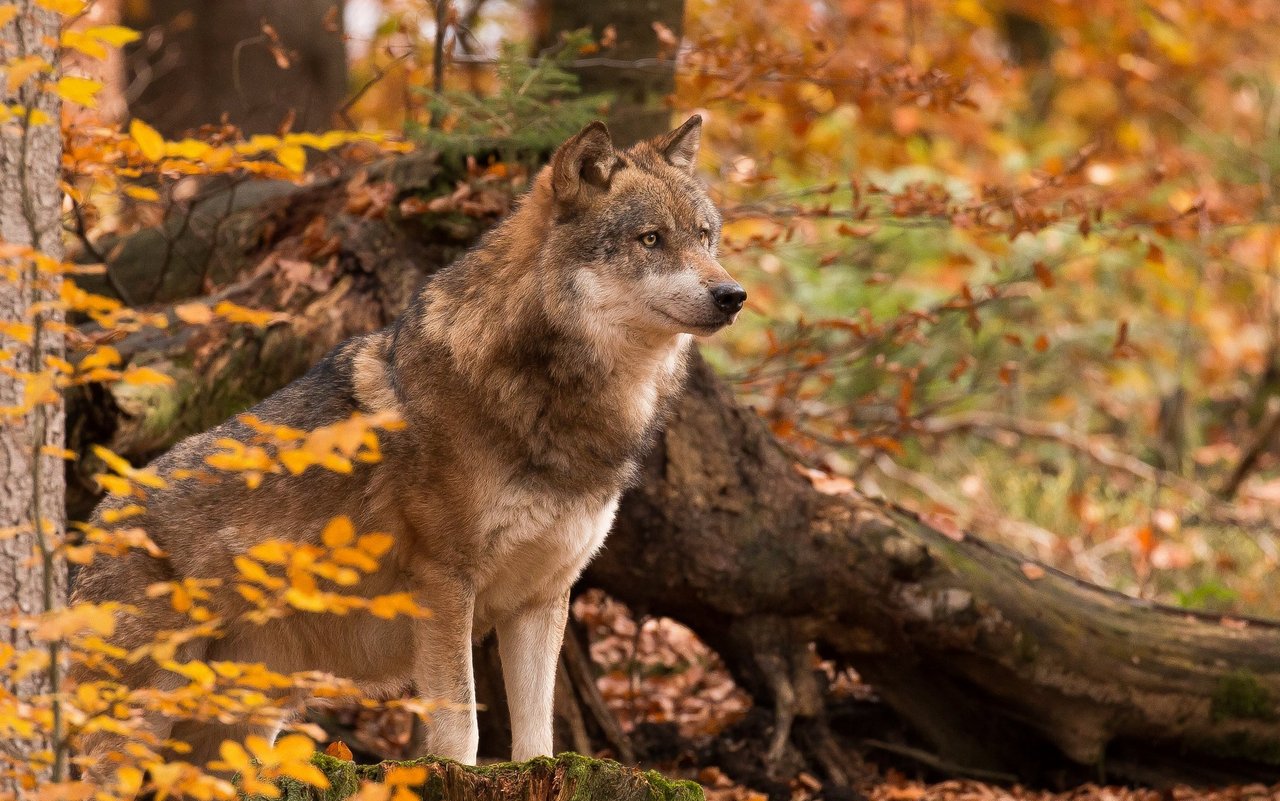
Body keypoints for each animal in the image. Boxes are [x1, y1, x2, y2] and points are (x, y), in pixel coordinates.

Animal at [70, 113, 747, 772]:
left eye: (706, 237)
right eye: (651, 239)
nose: (733, 295)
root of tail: (96, 523)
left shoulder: (540, 600)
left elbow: (538, 740)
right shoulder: (445, 584)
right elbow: (461, 725)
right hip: (140, 720)